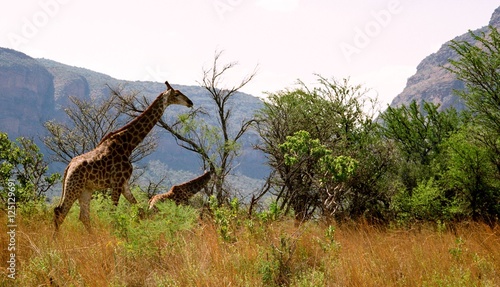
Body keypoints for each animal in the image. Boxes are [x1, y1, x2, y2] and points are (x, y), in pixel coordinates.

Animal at [53, 81, 192, 234]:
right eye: (177, 94)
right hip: (74, 186)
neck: (128, 144)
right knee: (60, 212)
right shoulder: (117, 182)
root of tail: (68, 168)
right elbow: (113, 213)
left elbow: (140, 211)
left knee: (83, 216)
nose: (190, 102)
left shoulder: (124, 183)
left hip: (85, 190)